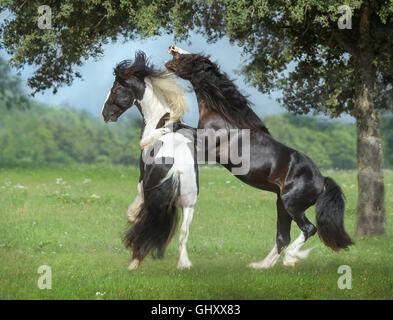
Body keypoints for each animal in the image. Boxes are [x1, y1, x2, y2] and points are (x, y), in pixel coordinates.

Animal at [102, 50, 198, 270]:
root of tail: (176, 170)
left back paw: (134, 262)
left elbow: (137, 193)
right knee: (183, 232)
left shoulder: (142, 173)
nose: (105, 114)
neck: (161, 121)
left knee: (146, 224)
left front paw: (131, 215)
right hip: (189, 204)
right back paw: (183, 264)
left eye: (116, 89)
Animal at [165, 46, 352, 268]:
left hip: (291, 204)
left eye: (191, 57)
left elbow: (179, 127)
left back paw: (290, 257)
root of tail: (322, 180)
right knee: (282, 237)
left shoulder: (205, 144)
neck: (223, 114)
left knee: (308, 229)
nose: (173, 48)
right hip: (282, 205)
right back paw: (261, 266)